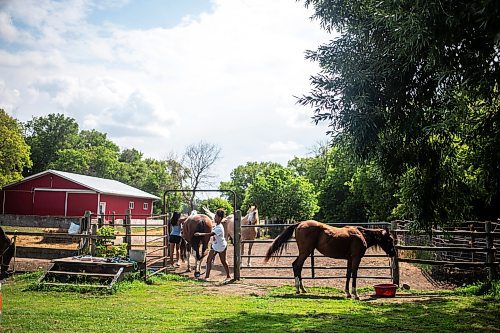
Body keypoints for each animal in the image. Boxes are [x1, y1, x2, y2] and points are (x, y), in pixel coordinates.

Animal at [264, 220, 396, 298]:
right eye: (390, 239)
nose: (393, 253)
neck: (361, 235)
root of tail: (300, 224)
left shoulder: (349, 259)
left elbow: (348, 274)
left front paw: (347, 293)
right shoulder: (356, 258)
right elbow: (354, 275)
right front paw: (355, 294)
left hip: (305, 252)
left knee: (297, 266)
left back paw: (302, 289)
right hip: (305, 252)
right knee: (296, 265)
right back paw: (298, 289)